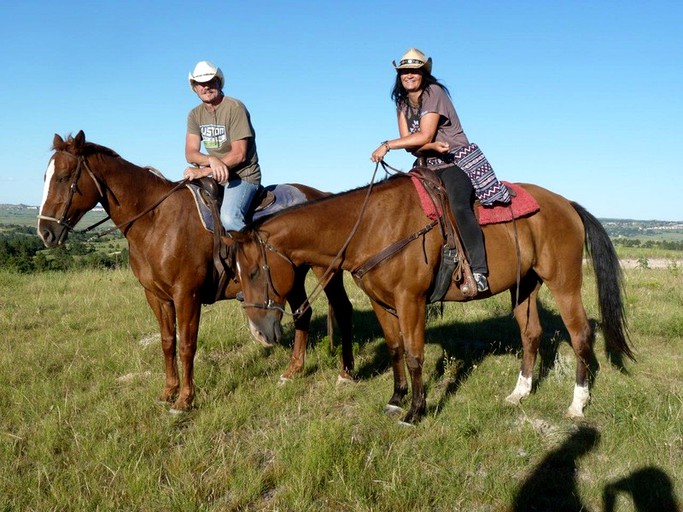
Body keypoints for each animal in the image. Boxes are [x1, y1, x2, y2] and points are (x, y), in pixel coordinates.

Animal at [36, 131, 356, 412]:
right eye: (45, 177)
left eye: (65, 177)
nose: (46, 232)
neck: (155, 221)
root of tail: (321, 193)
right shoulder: (157, 296)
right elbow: (168, 343)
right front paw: (168, 392)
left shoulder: (186, 295)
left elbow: (187, 345)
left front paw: (184, 401)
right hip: (292, 278)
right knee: (304, 312)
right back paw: (293, 371)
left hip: (324, 269)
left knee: (342, 308)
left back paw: (345, 373)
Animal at [230, 172, 636, 424]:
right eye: (234, 272)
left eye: (253, 272)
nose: (260, 334)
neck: (371, 226)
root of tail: (566, 204)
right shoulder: (381, 302)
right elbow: (395, 349)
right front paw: (395, 400)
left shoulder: (411, 301)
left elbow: (414, 354)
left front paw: (415, 411)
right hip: (525, 286)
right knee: (531, 334)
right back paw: (519, 393)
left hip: (564, 283)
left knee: (581, 335)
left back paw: (577, 404)